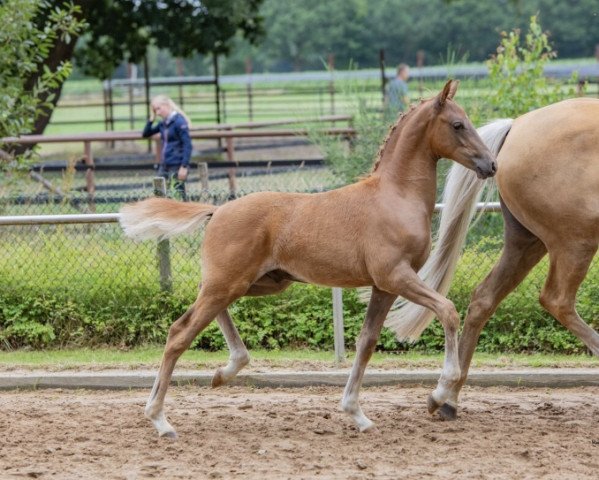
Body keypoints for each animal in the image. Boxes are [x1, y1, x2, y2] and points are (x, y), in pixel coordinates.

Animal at [118, 80, 496, 436]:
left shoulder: (384, 287)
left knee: (201, 311)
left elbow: (366, 342)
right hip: (229, 283)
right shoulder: (396, 276)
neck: (395, 196)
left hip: (255, 284)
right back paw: (160, 420)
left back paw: (224, 371)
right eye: (458, 124)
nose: (490, 164)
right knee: (179, 333)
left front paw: (357, 414)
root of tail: (218, 210)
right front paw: (438, 393)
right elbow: (447, 311)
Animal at [384, 97, 599, 420]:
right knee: (557, 300)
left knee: (484, 298)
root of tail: (516, 125)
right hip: (576, 241)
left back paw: (447, 398)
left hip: (528, 242)